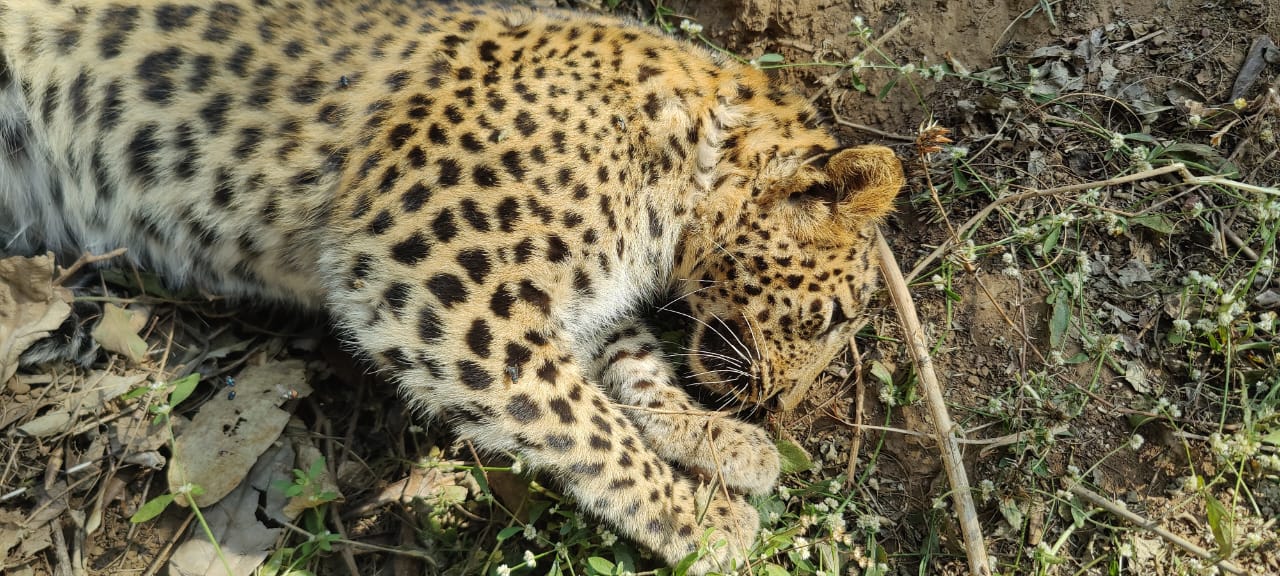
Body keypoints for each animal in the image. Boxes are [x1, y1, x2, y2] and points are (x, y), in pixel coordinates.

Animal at [0, 0, 901, 570]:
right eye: (832, 318)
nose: (781, 404)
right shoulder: (433, 283)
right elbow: (582, 422)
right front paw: (699, 520)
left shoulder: (572, 298)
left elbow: (636, 368)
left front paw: (720, 441)